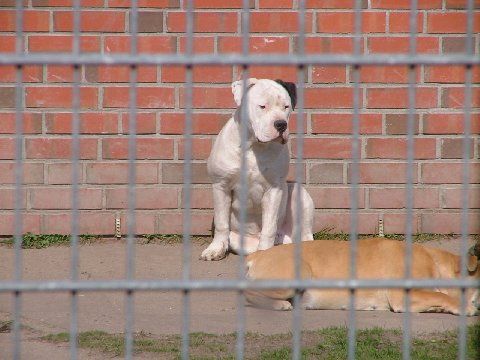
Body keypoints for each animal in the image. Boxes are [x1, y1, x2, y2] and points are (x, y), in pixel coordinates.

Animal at [200, 78, 316, 262]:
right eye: (262, 106)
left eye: (286, 107)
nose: (281, 124)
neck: (253, 146)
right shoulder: (221, 186)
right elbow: (221, 223)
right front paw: (216, 249)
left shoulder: (273, 190)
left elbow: (269, 227)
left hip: (299, 194)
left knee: (305, 235)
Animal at [246, 239, 478, 316]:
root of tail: (259, 253)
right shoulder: (402, 295)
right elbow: (442, 296)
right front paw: (463, 307)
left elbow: (437, 297)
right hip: (298, 273)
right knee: (247, 293)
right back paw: (278, 305)